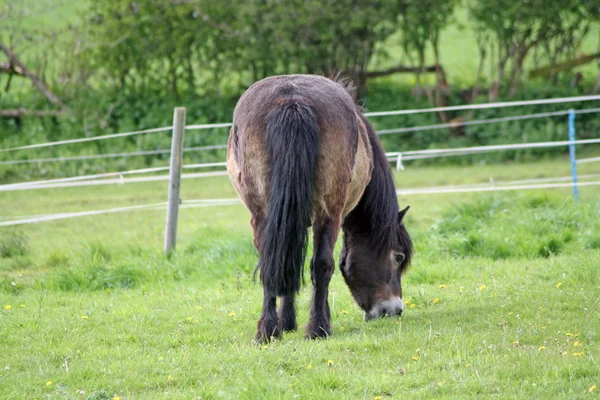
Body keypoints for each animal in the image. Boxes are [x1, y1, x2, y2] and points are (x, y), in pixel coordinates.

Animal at [225, 73, 412, 342]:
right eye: (398, 257)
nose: (394, 309)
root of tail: (293, 101)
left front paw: (286, 322)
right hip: (328, 213)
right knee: (322, 265)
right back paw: (318, 328)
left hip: (263, 213)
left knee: (272, 262)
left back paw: (267, 331)